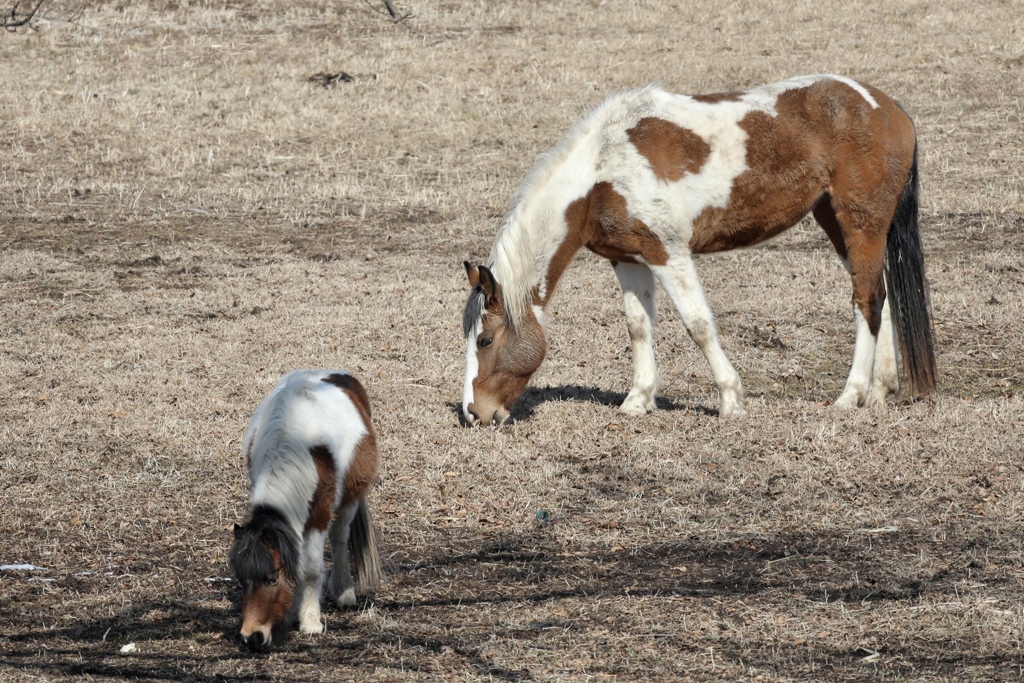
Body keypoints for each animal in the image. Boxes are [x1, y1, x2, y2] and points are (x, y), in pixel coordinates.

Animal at [228, 370, 385, 651]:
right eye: (241, 580)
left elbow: (311, 569)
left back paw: (344, 593)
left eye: (272, 579)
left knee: (339, 538)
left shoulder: (318, 517)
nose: (251, 636)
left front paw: (311, 621)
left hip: (349, 499)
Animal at [464, 74, 937, 428]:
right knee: (880, 294)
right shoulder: (628, 258)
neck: (601, 173)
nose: (474, 413)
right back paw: (880, 391)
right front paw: (638, 400)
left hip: (860, 223)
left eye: (485, 339)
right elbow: (638, 326)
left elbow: (698, 325)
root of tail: (887, 108)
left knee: (867, 300)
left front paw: (730, 400)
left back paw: (850, 395)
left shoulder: (668, 253)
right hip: (839, 225)